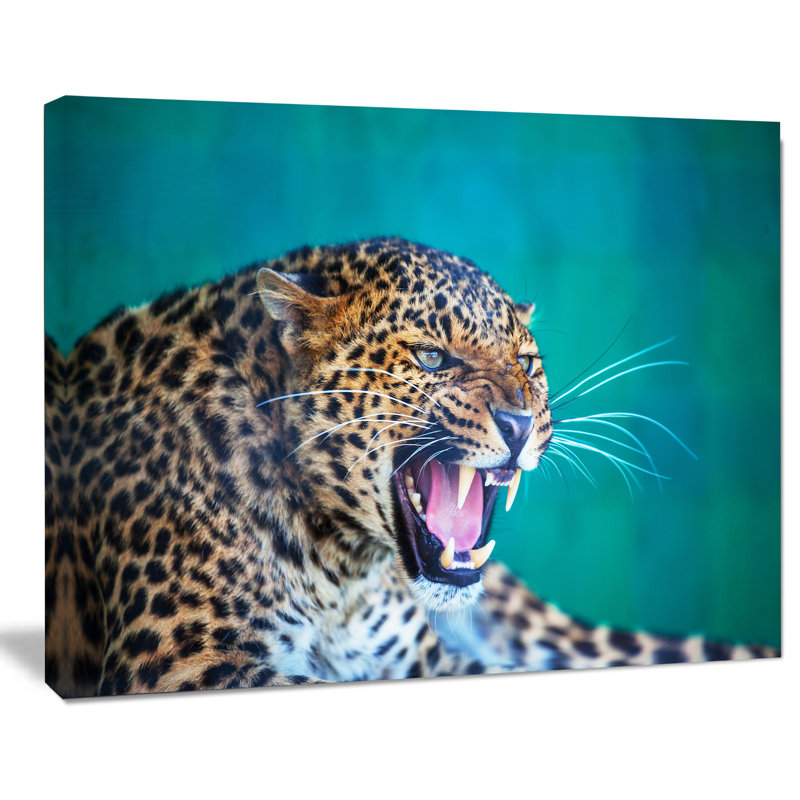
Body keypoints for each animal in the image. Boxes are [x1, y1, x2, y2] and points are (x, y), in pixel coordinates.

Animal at [44, 237, 779, 697]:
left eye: (527, 363)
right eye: (430, 358)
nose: (520, 424)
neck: (340, 573)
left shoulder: (428, 660)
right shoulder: (180, 665)